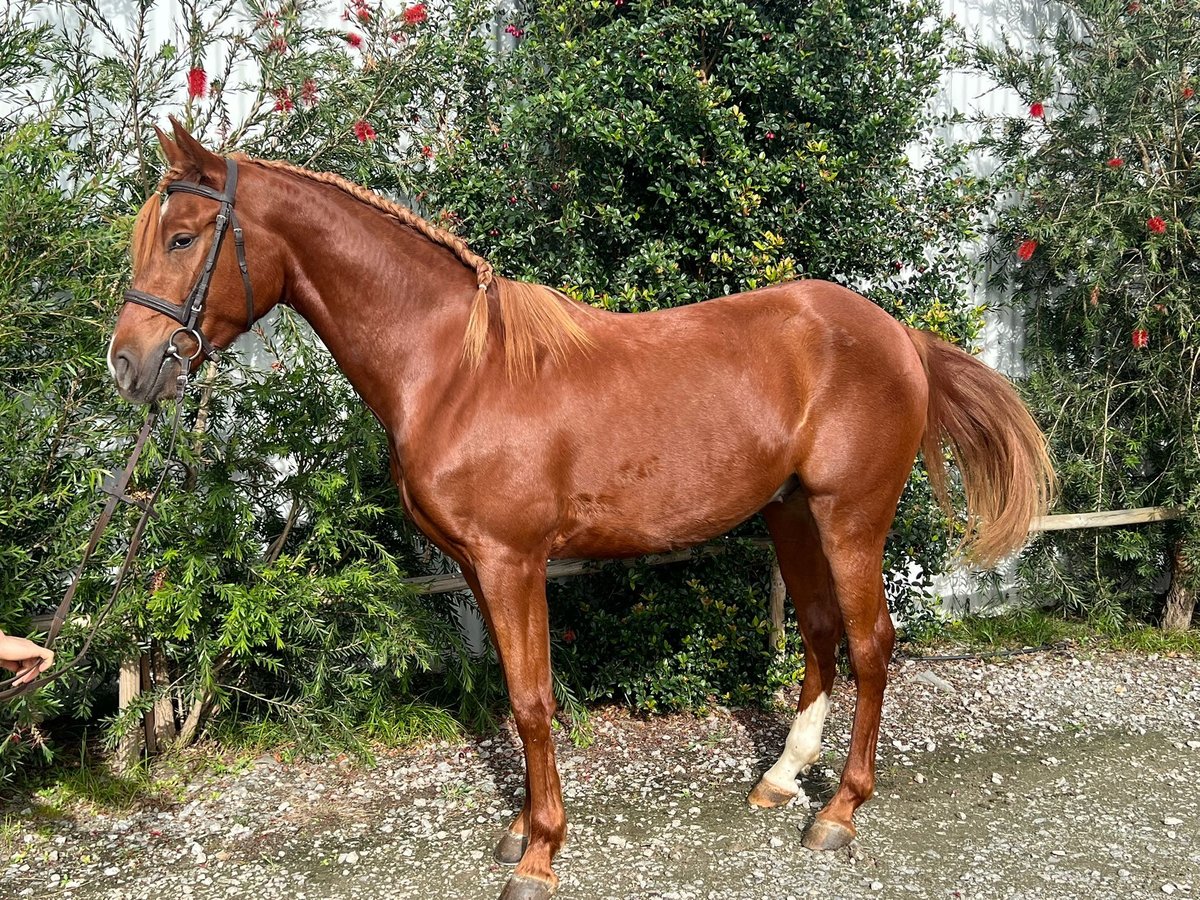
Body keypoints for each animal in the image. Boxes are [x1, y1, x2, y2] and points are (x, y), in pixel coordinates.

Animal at [110, 121, 1051, 900]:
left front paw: (539, 855)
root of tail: (899, 336)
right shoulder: (479, 568)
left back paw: (839, 814)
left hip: (850, 519)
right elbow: (516, 694)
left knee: (872, 645)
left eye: (184, 238)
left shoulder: (511, 560)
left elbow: (532, 701)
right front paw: (522, 827)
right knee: (820, 636)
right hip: (792, 516)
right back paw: (781, 779)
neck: (456, 368)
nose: (129, 364)